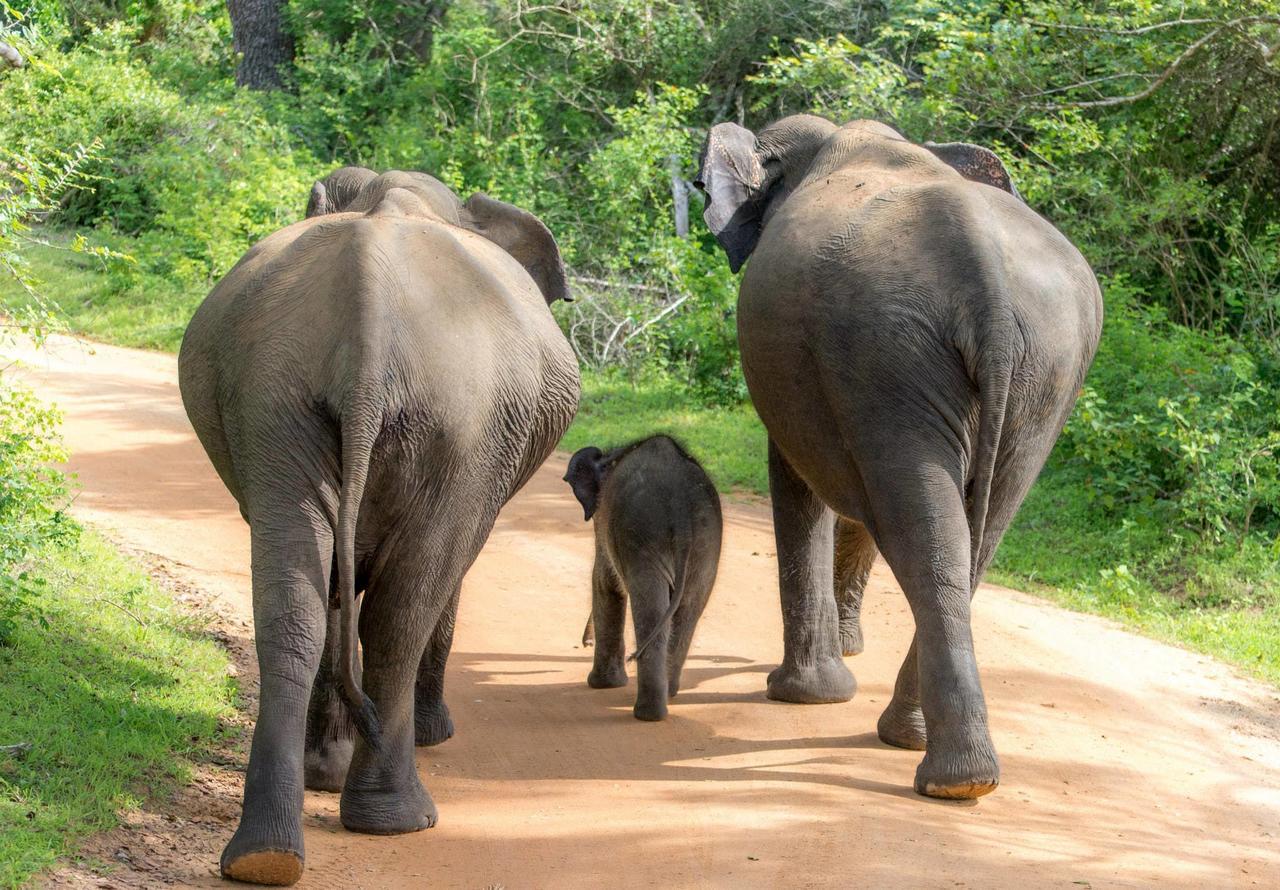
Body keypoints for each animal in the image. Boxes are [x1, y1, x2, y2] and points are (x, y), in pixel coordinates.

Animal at [180, 169, 581, 886]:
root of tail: (365, 329)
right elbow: (442, 579)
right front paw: (431, 736)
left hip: (278, 404)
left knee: (297, 605)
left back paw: (266, 855)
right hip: (461, 427)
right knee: (403, 611)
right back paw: (396, 816)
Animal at [565, 435, 727, 722]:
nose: (585, 642)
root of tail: (681, 508)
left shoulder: (605, 522)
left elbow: (605, 584)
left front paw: (602, 684)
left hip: (644, 536)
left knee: (650, 608)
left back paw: (648, 713)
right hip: (705, 545)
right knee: (689, 608)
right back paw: (669, 693)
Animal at [696, 116, 1105, 799]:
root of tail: (984, 274)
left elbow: (799, 478)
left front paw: (805, 694)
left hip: (895, 350)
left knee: (925, 529)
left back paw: (937, 767)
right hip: (1026, 372)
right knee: (964, 537)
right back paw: (948, 771)